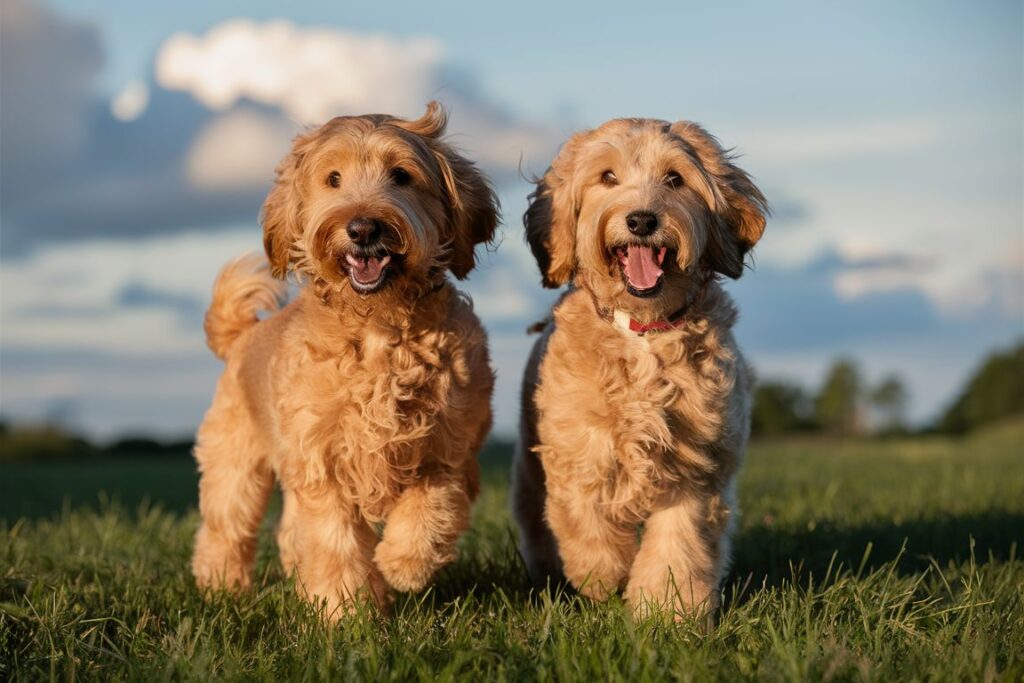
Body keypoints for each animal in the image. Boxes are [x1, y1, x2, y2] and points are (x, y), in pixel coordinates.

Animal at [192, 101, 499, 618]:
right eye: (333, 178)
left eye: (401, 175)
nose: (362, 227)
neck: (378, 329)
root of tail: (242, 336)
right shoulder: (323, 458)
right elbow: (334, 538)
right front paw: (346, 610)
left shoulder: (450, 446)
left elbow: (432, 507)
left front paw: (401, 565)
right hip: (235, 461)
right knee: (226, 526)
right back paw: (222, 588)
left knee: (286, 530)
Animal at [512, 117, 770, 618]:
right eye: (608, 177)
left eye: (675, 178)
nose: (642, 220)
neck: (644, 330)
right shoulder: (579, 450)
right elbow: (586, 520)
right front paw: (601, 577)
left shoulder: (697, 467)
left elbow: (680, 543)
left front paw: (669, 608)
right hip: (531, 467)